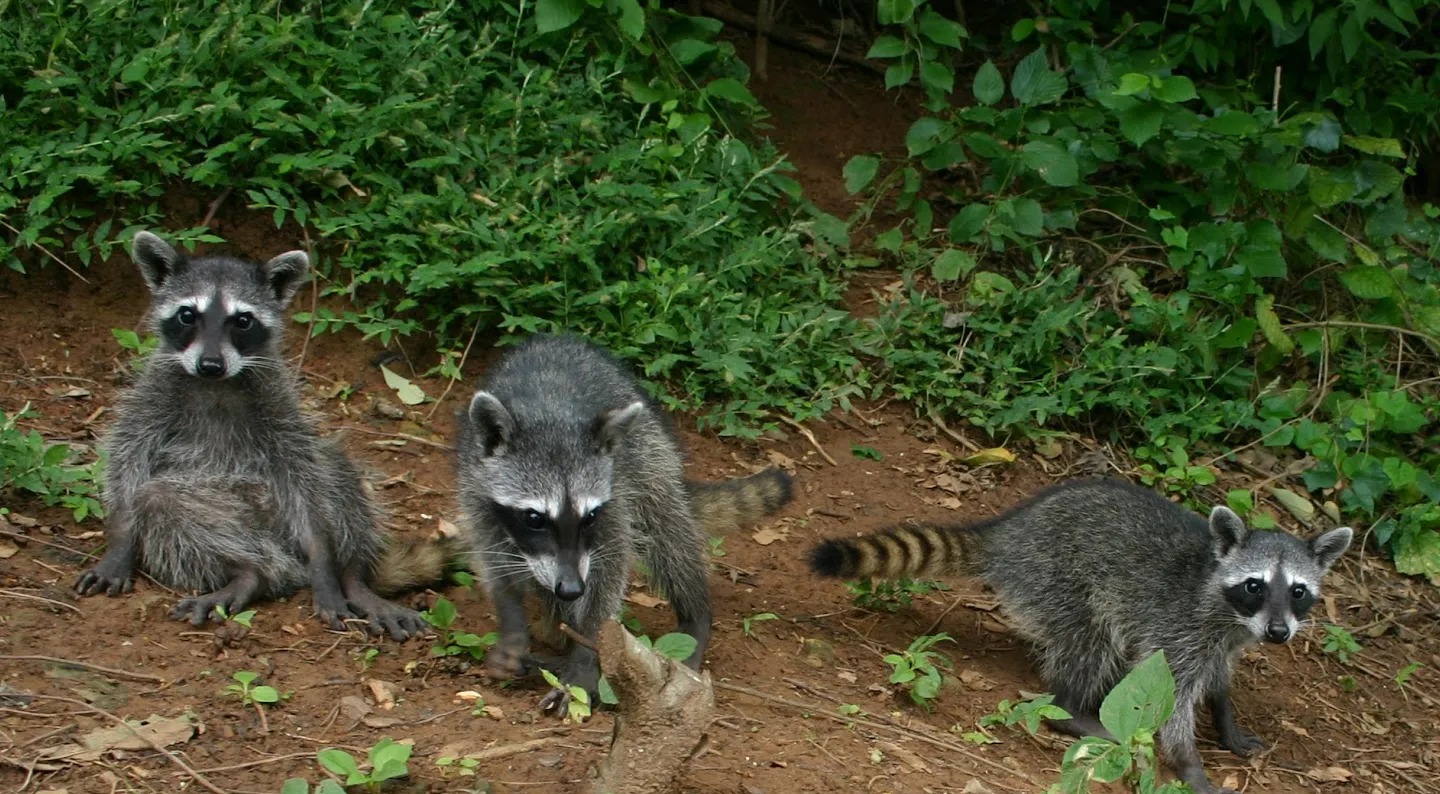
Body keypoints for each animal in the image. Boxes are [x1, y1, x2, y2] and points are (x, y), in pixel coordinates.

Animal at [73, 232, 457, 639]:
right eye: (187, 315)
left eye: (243, 320)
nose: (211, 364)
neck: (217, 384)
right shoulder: (151, 397)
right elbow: (127, 463)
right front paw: (120, 541)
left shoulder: (279, 406)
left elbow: (306, 480)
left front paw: (325, 559)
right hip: (225, 516)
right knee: (162, 503)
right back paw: (247, 573)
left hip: (282, 513)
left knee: (336, 472)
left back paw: (353, 572)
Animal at [455, 334, 794, 714]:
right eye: (534, 518)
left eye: (589, 516)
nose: (571, 589)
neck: (549, 416)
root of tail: (557, 339)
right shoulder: (476, 485)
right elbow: (495, 561)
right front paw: (513, 623)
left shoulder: (614, 492)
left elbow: (610, 569)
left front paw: (586, 653)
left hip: (648, 449)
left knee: (669, 533)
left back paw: (694, 613)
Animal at [817, 478, 1353, 794]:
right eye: (1254, 585)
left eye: (1299, 591)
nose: (1279, 633)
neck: (1227, 608)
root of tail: (1009, 532)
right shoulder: (1180, 626)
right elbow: (1173, 698)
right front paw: (1189, 765)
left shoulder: (1226, 638)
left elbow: (1218, 678)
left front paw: (1225, 719)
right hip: (1056, 575)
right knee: (1089, 642)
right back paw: (1072, 710)